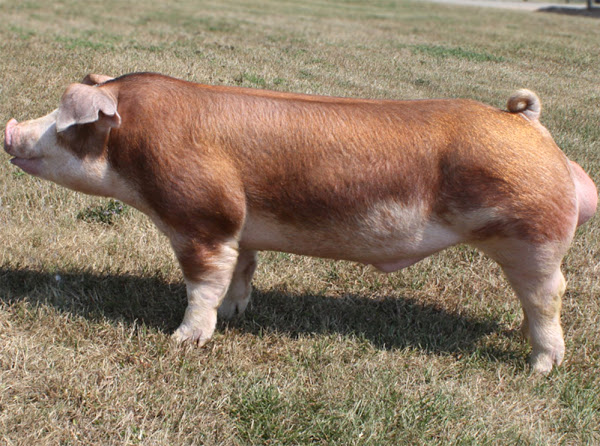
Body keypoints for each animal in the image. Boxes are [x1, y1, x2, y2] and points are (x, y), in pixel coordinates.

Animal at [3, 73, 596, 372]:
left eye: (66, 121)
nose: (10, 128)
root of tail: (528, 122)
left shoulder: (202, 216)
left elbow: (202, 284)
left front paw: (182, 342)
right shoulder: (241, 223)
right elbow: (241, 270)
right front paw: (238, 314)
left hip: (533, 236)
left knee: (550, 294)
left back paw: (541, 367)